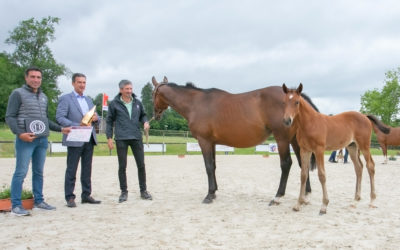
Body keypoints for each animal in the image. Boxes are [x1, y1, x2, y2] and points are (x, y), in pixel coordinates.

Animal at [152, 76, 318, 205]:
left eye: (153, 94)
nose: (155, 114)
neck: (196, 103)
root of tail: (298, 97)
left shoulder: (204, 141)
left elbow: (208, 167)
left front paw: (209, 195)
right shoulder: (212, 143)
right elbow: (214, 166)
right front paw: (214, 191)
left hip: (282, 139)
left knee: (286, 164)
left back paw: (277, 196)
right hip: (295, 140)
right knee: (302, 163)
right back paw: (305, 195)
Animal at [282, 83, 388, 214]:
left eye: (296, 102)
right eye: (284, 102)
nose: (287, 120)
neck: (310, 123)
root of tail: (365, 116)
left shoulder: (319, 150)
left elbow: (322, 175)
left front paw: (324, 205)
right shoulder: (305, 150)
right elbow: (303, 175)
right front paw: (298, 204)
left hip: (364, 146)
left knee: (370, 166)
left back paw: (372, 200)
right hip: (352, 147)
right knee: (359, 167)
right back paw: (355, 200)